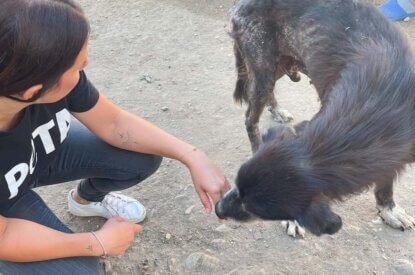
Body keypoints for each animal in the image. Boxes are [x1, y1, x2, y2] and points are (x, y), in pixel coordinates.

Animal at [216, 0, 415, 237]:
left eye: (250, 207)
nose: (217, 208)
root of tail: (239, 4)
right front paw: (293, 221)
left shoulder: (395, 147)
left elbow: (386, 178)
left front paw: (388, 209)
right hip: (262, 67)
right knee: (249, 117)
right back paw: (258, 142)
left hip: (281, 64)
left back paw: (277, 110)